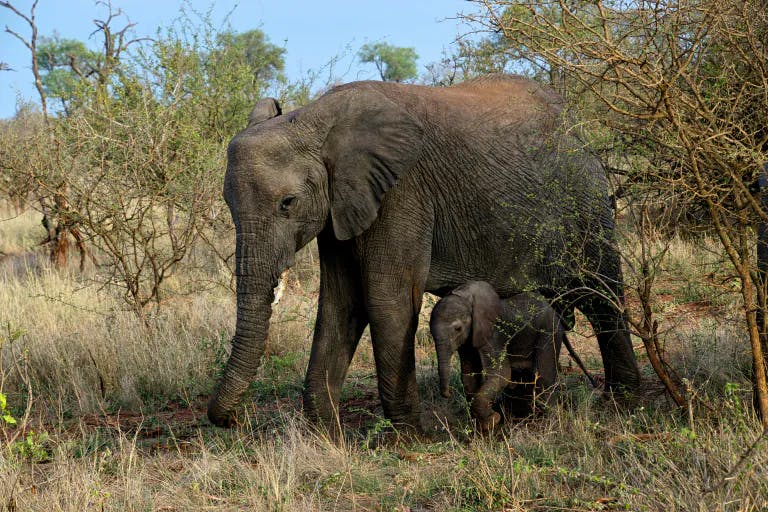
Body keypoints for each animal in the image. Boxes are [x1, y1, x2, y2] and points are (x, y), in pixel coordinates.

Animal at [428, 282, 592, 430]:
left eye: (458, 328)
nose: (448, 393)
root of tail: (556, 313)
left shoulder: (494, 334)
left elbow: (502, 374)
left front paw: (493, 420)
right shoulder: (468, 341)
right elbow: (469, 377)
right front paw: (484, 425)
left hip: (549, 332)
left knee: (544, 377)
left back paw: (551, 422)